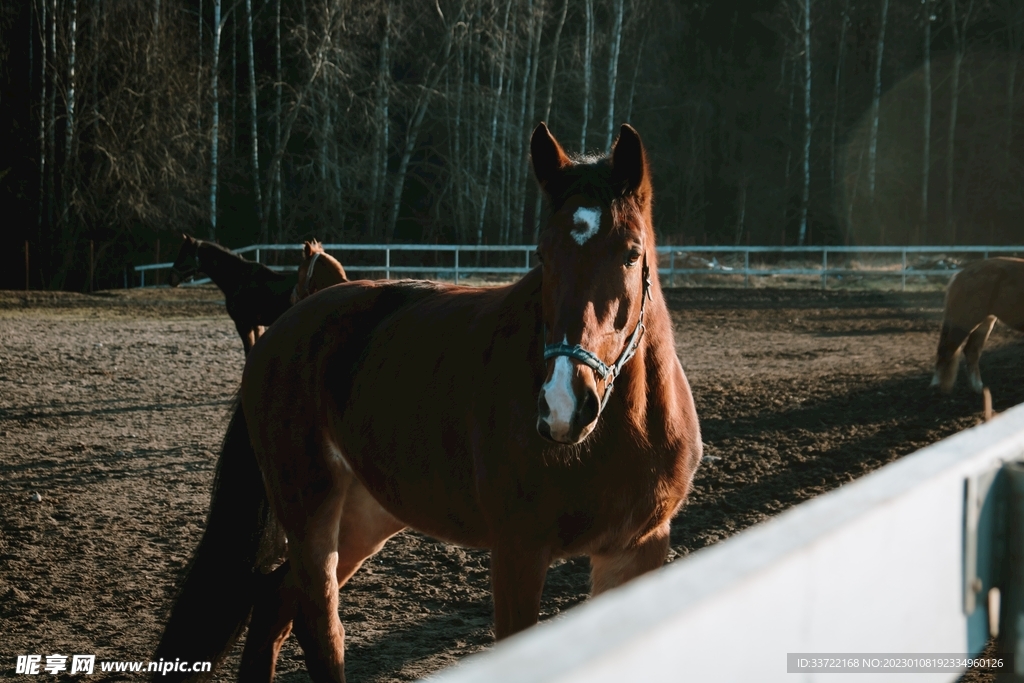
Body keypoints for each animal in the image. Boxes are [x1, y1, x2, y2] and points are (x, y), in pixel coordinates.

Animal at [932, 256, 1024, 393]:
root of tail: (961, 274)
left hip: (984, 324)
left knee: (971, 351)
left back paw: (978, 388)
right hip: (965, 322)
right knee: (948, 349)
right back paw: (936, 385)